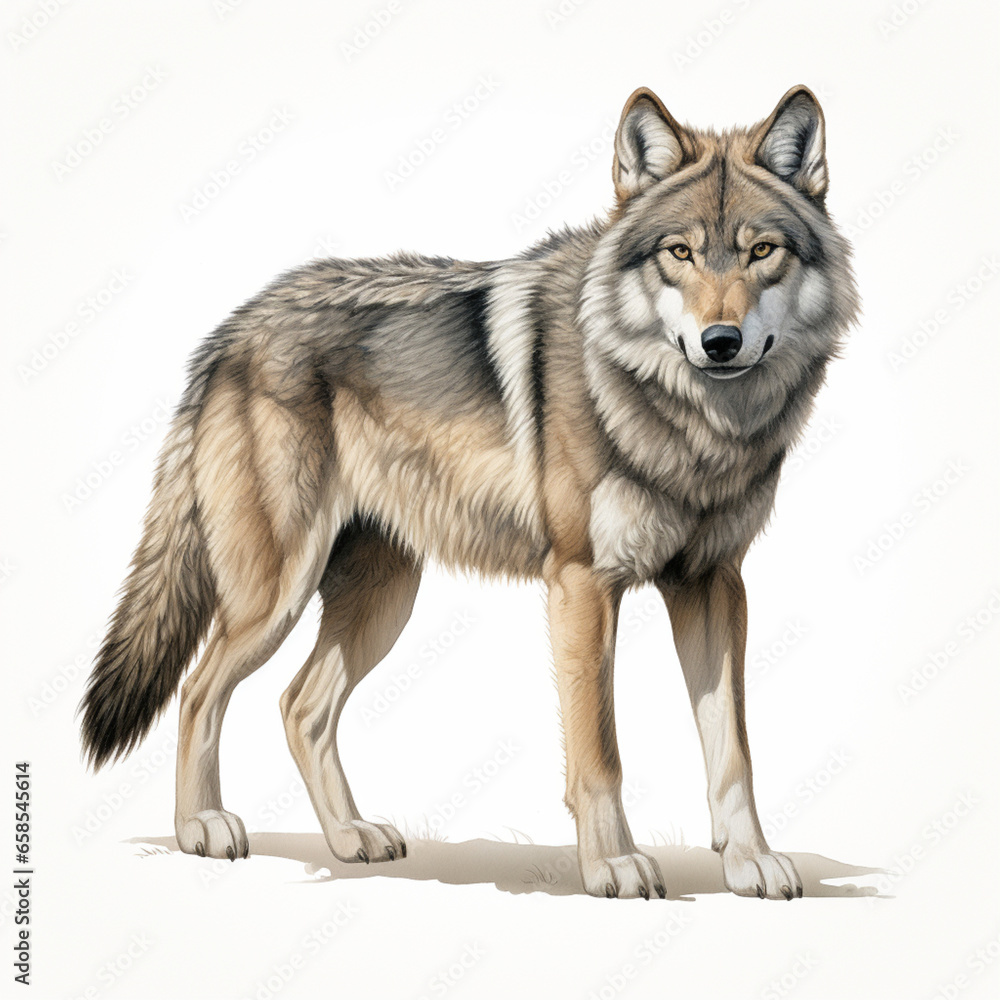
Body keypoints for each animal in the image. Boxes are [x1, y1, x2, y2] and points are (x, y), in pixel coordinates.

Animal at [80, 85, 858, 900]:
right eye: (679, 253)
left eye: (761, 251)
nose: (721, 342)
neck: (694, 426)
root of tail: (229, 331)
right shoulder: (582, 585)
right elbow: (600, 753)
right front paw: (612, 865)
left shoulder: (713, 584)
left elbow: (733, 751)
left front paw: (749, 863)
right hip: (276, 596)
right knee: (200, 690)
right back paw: (202, 828)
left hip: (382, 601)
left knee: (300, 706)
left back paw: (351, 838)